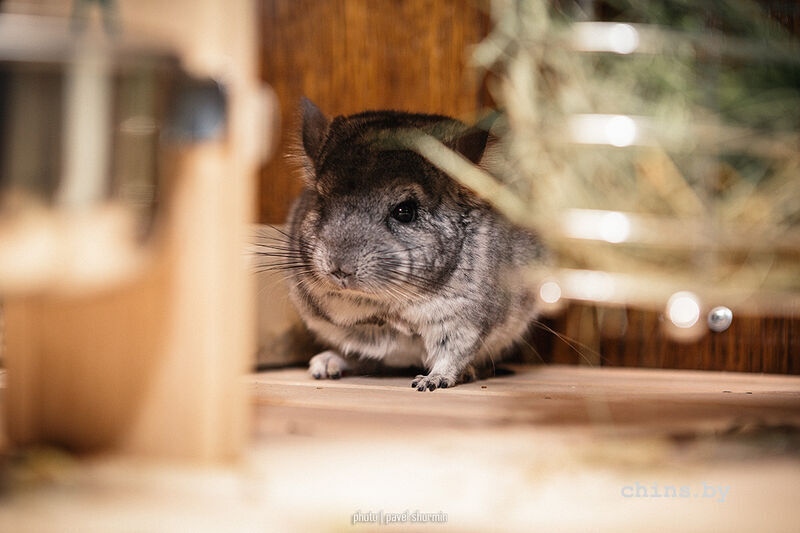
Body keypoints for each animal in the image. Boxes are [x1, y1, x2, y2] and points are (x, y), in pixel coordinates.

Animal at [259, 97, 545, 391]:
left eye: (405, 211)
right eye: (322, 201)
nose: (339, 269)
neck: (389, 302)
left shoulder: (465, 322)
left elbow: (452, 356)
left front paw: (430, 382)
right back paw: (325, 363)